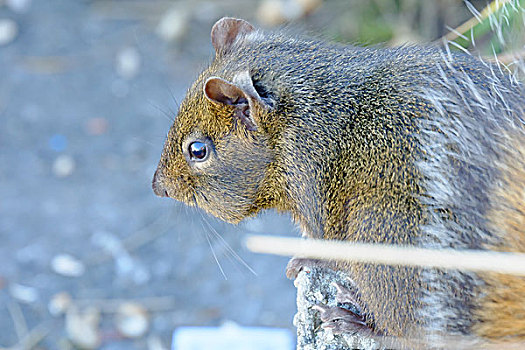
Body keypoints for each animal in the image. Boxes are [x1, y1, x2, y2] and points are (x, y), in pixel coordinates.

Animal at [151, 17, 524, 346]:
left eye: (198, 150)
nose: (158, 187)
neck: (299, 114)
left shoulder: (310, 184)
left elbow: (325, 246)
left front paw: (307, 260)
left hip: (382, 232)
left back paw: (359, 321)